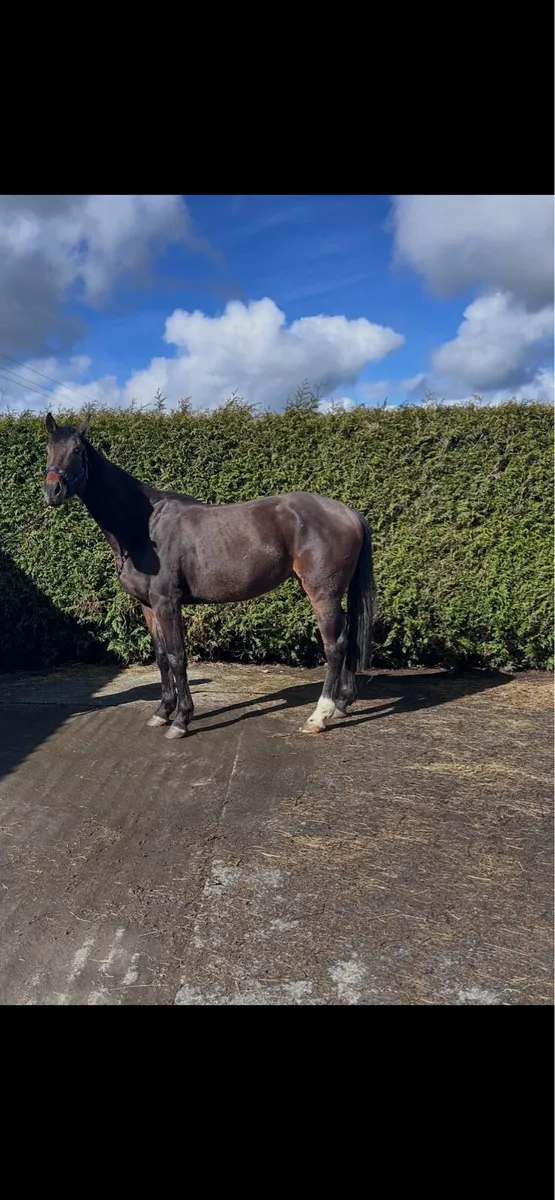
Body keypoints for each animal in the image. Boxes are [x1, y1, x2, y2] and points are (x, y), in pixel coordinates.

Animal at [43, 414, 375, 740]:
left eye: (77, 451)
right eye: (48, 448)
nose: (52, 490)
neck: (144, 525)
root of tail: (349, 513)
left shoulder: (167, 603)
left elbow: (177, 656)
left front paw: (181, 720)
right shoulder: (148, 606)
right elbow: (161, 656)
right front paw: (162, 712)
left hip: (322, 594)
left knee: (335, 646)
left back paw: (319, 716)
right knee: (347, 637)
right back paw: (342, 704)